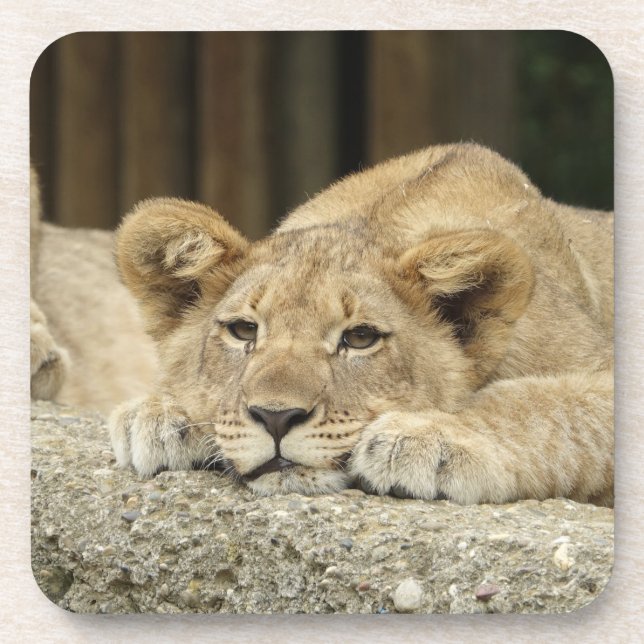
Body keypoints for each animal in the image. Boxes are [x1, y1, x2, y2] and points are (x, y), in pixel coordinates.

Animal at [33, 143, 614, 505]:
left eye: (359, 338)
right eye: (244, 331)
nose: (276, 418)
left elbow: (541, 406)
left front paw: (427, 438)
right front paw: (161, 416)